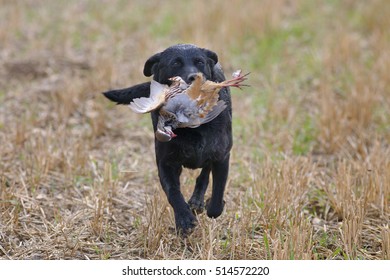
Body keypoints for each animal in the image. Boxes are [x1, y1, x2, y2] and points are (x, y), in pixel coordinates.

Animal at [103, 43, 232, 233]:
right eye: (176, 63)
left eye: (200, 62)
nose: (194, 77)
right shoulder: (166, 163)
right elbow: (173, 193)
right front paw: (184, 219)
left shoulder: (221, 156)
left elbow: (217, 195)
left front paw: (212, 205)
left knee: (204, 174)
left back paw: (197, 201)